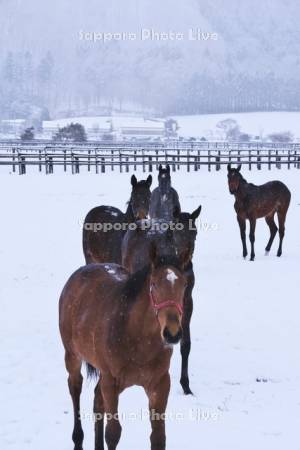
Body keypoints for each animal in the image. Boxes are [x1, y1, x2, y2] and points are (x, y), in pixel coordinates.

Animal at [59, 244, 190, 450]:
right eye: (154, 284)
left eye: (184, 285)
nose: (172, 333)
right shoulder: (111, 382)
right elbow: (113, 433)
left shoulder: (160, 384)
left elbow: (158, 437)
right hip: (72, 356)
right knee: (75, 387)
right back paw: (77, 439)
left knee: (97, 400)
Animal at [122, 205, 202, 394]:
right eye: (175, 231)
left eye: (195, 233)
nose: (186, 266)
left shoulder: (187, 303)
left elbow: (185, 344)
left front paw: (186, 385)